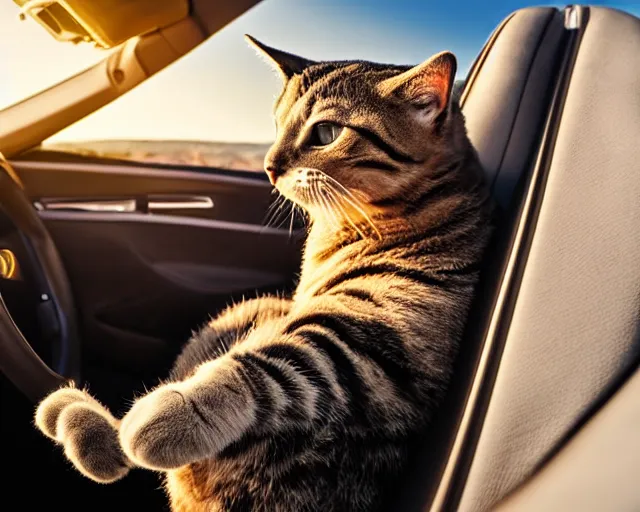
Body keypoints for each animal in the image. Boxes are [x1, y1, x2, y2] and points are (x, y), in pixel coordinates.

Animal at [33, 34, 496, 510]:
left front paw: (168, 418)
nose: (269, 167)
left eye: (326, 134)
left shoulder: (371, 340)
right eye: (276, 124)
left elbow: (266, 366)